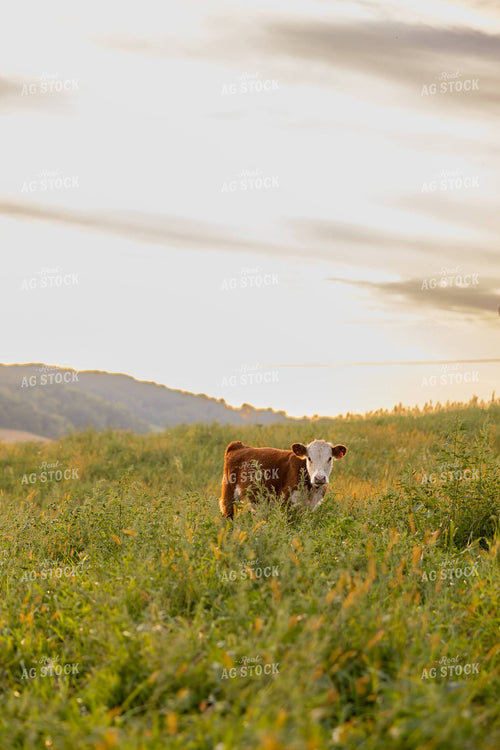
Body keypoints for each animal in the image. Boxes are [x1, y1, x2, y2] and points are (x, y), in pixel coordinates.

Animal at [219, 439, 347, 519]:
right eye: (309, 458)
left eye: (329, 458)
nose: (319, 478)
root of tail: (238, 445)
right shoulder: (285, 503)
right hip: (228, 496)